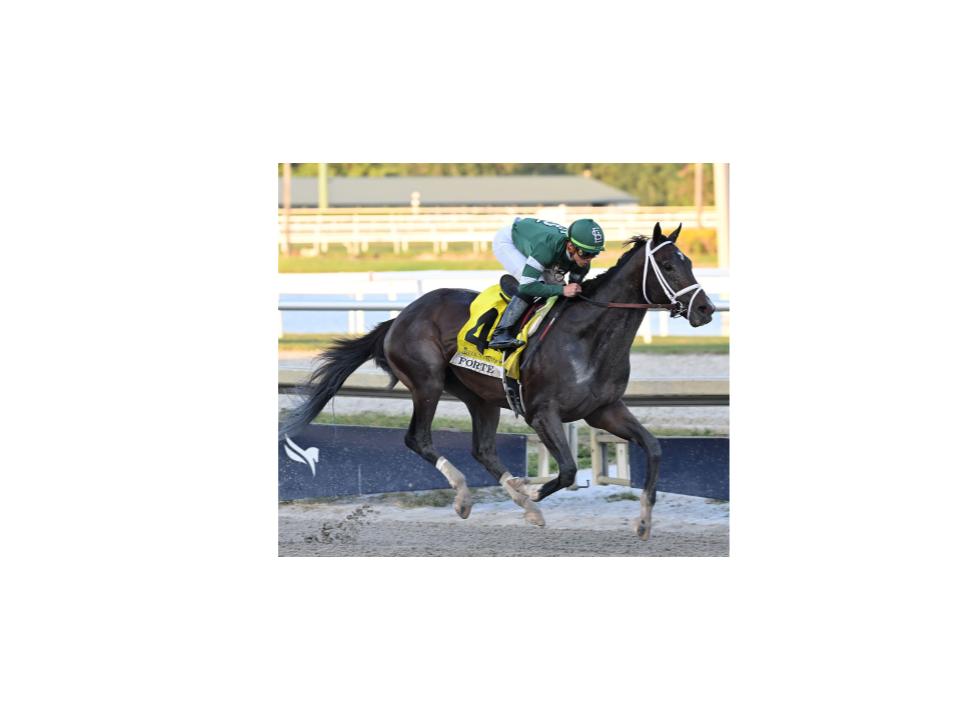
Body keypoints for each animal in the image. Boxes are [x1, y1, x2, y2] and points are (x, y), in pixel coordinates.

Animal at [281, 222, 716, 540]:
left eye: (691, 262)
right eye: (670, 267)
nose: (706, 309)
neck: (586, 336)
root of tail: (400, 317)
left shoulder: (604, 410)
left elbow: (654, 448)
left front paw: (643, 521)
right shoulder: (542, 413)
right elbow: (568, 471)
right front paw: (529, 489)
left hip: (481, 398)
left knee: (483, 450)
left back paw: (524, 507)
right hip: (428, 382)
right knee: (418, 438)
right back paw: (467, 497)